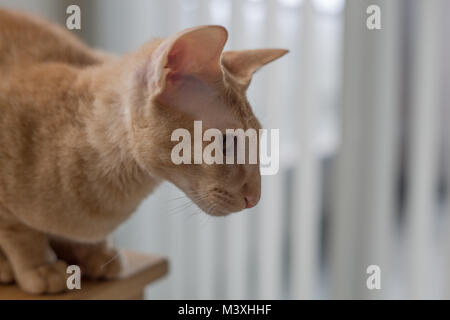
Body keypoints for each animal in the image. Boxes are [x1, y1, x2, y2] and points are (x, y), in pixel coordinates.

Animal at [0, 8, 288, 296]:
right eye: (227, 142)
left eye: (258, 138)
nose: (255, 198)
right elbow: (19, 233)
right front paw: (40, 265)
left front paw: (94, 252)